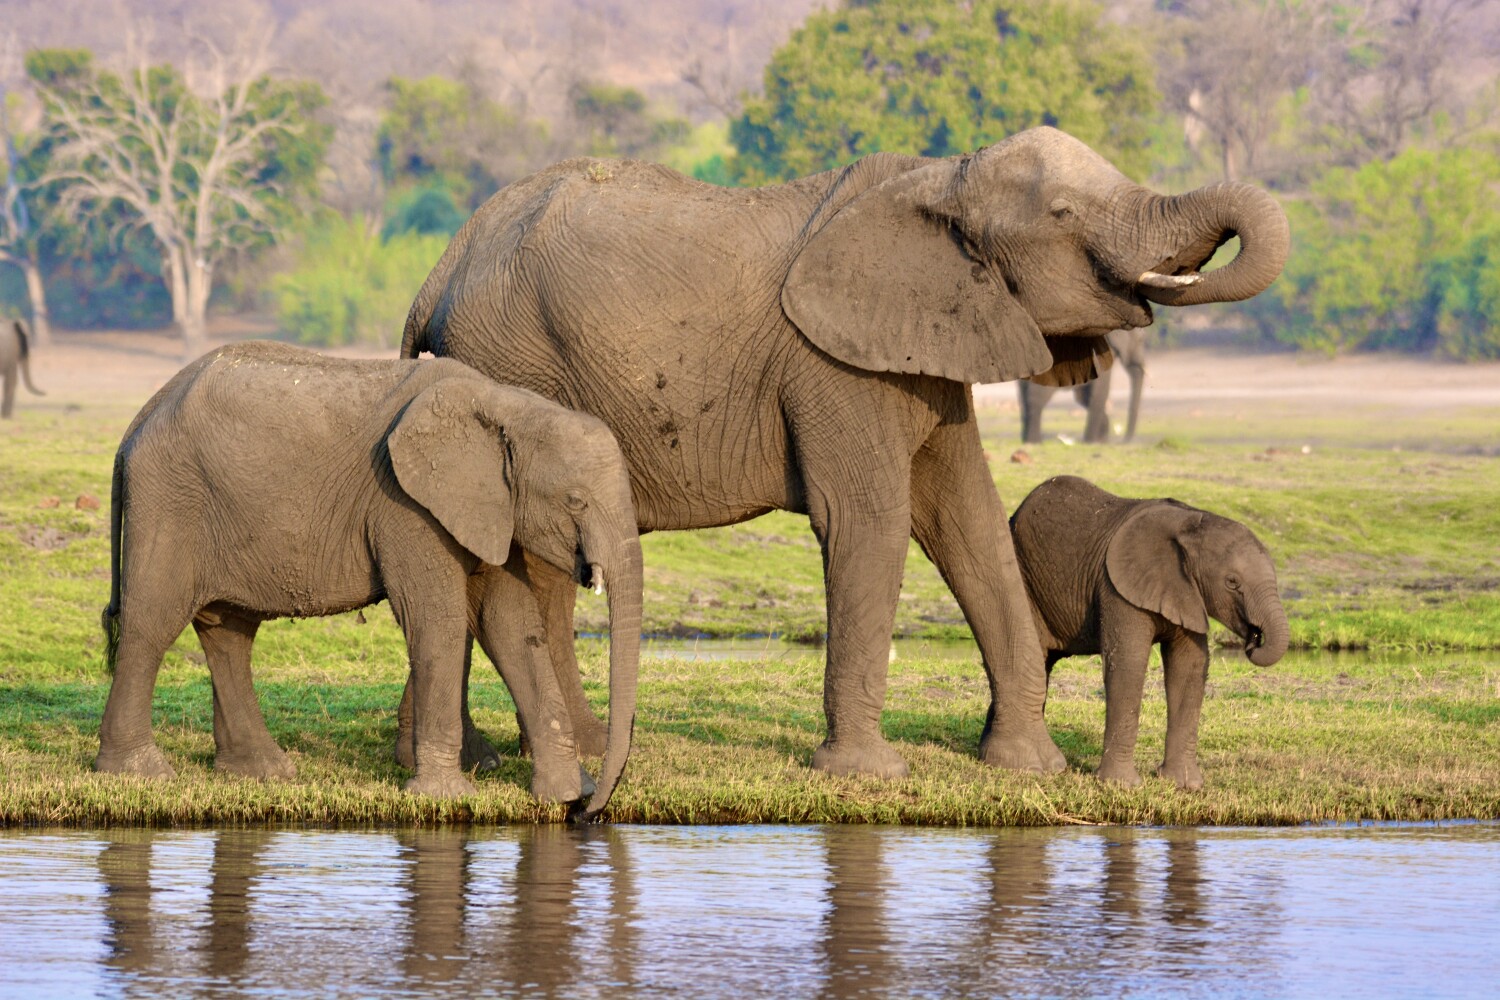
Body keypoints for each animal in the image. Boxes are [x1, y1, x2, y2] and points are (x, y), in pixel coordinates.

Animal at [94, 341, 640, 817]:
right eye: (575, 501)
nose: (592, 812)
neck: (506, 404)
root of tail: (140, 417)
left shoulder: (490, 509)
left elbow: (509, 624)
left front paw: (563, 795)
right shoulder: (406, 504)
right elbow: (437, 621)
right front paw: (444, 797)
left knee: (229, 633)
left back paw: (263, 774)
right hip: (170, 500)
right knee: (151, 626)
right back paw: (140, 774)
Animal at [1009, 475, 1289, 789]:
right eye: (1232, 582)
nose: (1254, 638)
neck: (1191, 524)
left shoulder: (1186, 592)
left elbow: (1189, 668)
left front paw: (1184, 785)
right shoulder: (1117, 588)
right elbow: (1128, 664)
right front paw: (1121, 785)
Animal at [1018, 328, 1147, 444]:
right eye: (1140, 340)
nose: (1124, 441)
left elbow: (1084, 397)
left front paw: (1101, 440)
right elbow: (1100, 391)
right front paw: (1091, 442)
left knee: (1024, 397)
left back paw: (1026, 440)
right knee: (1037, 397)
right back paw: (1034, 442)